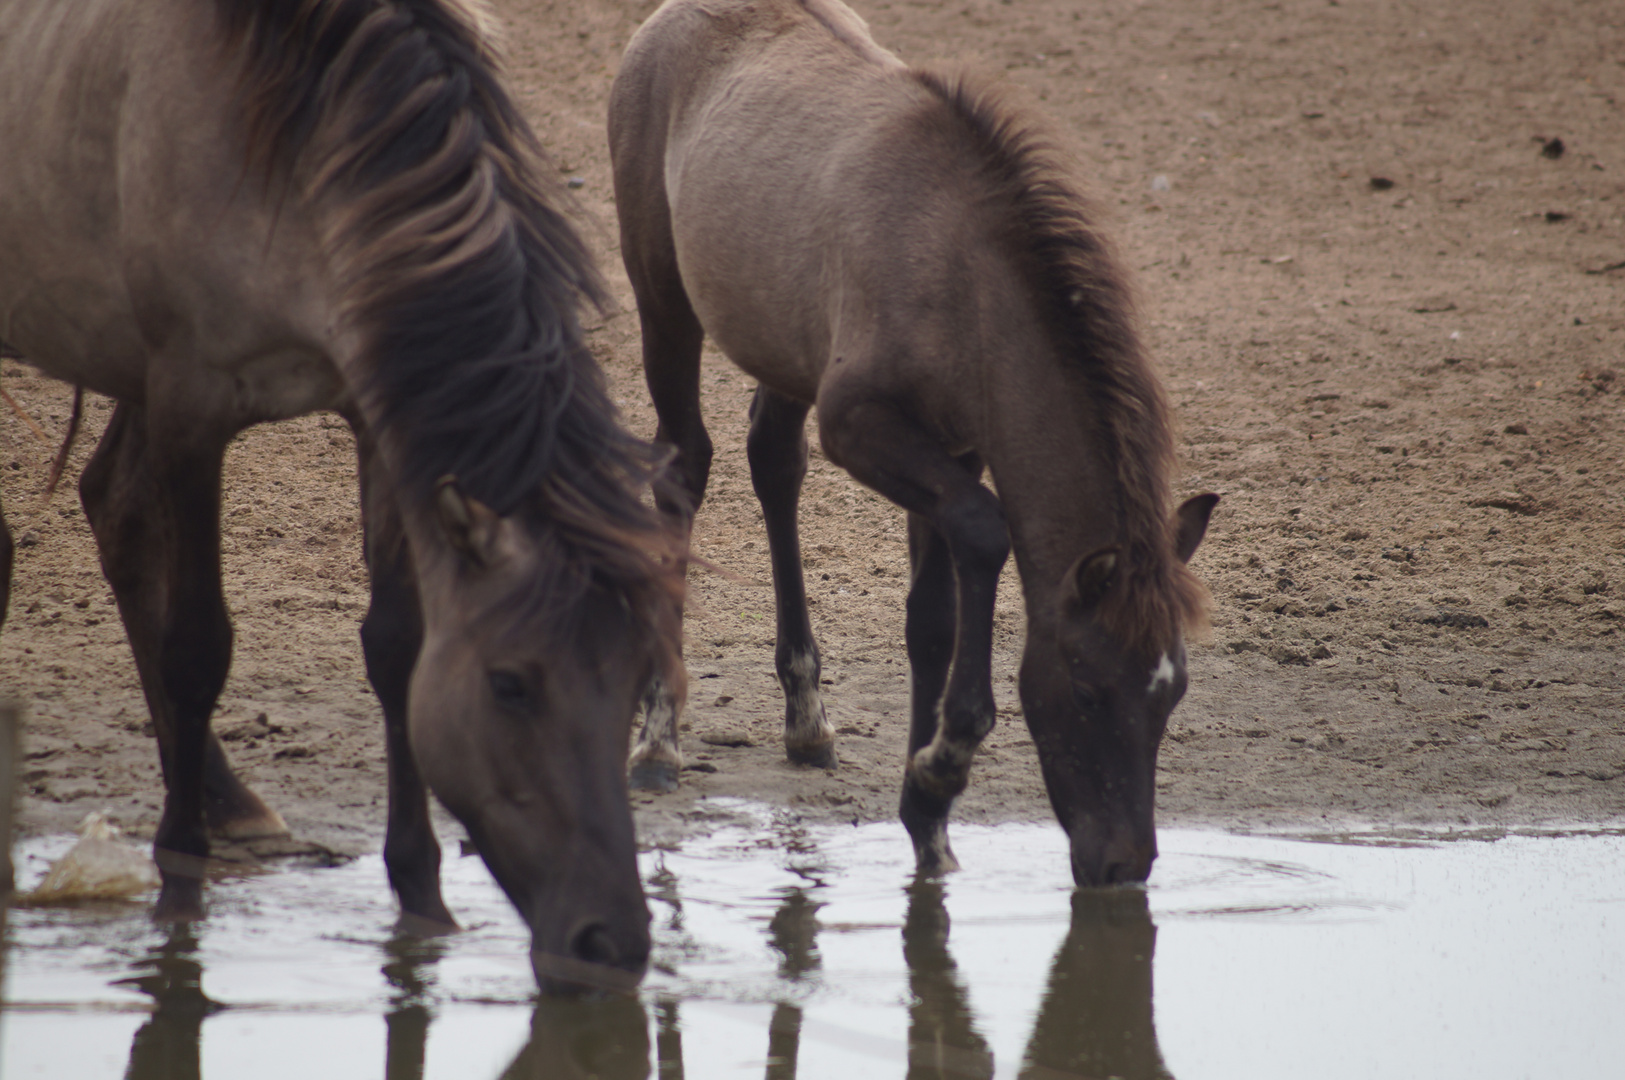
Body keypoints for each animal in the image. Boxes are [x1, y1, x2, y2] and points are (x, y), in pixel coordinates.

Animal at [0, 0, 685, 987]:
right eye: (511, 685)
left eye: (638, 678)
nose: (612, 942)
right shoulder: (190, 407)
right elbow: (198, 646)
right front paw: (178, 877)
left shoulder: (371, 406)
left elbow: (395, 644)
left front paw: (421, 898)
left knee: (112, 503)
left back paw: (228, 798)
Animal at [611, 0, 1222, 883]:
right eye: (1084, 688)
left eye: (1170, 693)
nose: (1122, 865)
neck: (962, 274)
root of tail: (663, 23)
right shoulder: (861, 426)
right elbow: (984, 529)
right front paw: (942, 760)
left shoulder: (955, 446)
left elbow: (931, 611)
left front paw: (928, 819)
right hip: (662, 297)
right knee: (683, 466)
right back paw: (658, 738)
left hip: (780, 342)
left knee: (772, 461)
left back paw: (807, 721)